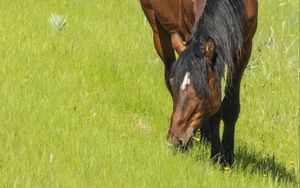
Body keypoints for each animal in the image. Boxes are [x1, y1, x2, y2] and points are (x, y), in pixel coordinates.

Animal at [141, 0, 258, 165]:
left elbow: (231, 107)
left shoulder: (244, 48)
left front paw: (227, 157)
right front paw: (215, 154)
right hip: (156, 26)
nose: (174, 140)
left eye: (201, 91)